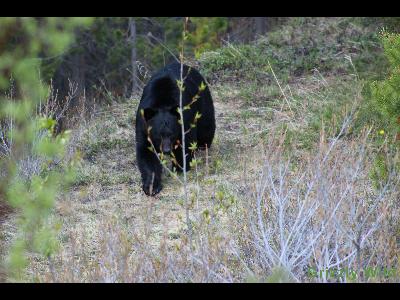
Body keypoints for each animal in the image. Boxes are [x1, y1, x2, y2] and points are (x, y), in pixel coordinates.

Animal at [135, 62, 216, 196]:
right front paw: (151, 187)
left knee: (206, 126)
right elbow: (147, 153)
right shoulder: (143, 126)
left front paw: (179, 167)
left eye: (171, 134)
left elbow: (186, 143)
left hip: (203, 99)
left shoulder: (186, 120)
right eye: (158, 135)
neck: (162, 102)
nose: (167, 150)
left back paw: (203, 145)